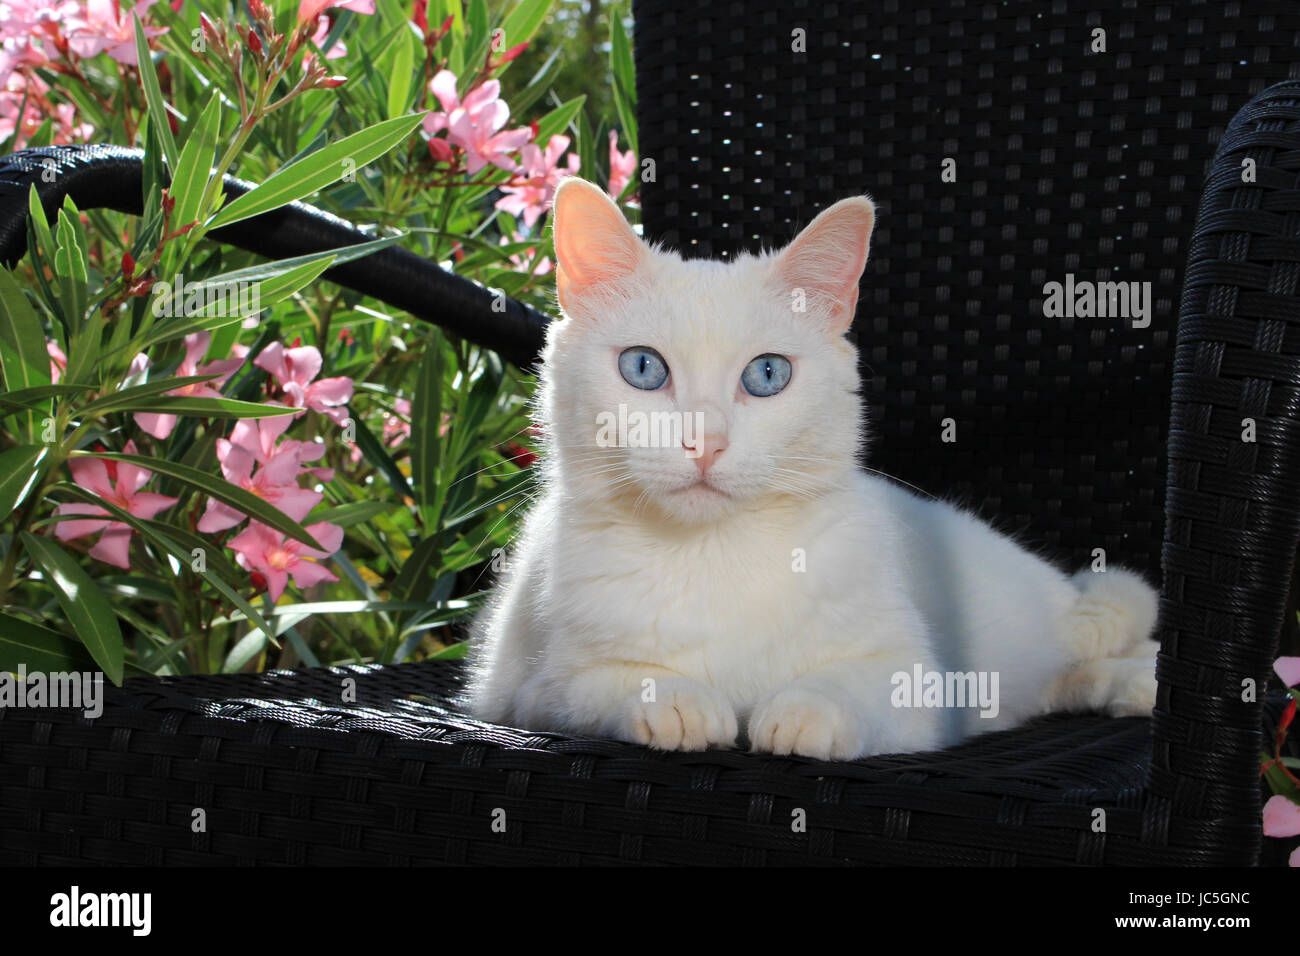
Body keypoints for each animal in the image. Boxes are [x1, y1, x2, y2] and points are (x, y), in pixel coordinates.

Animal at [467, 178, 1159, 764]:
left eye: (767, 375)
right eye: (643, 368)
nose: (705, 442)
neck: (715, 557)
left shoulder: (918, 684)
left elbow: (849, 687)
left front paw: (804, 714)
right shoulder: (522, 692)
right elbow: (601, 682)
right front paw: (678, 703)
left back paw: (1143, 677)